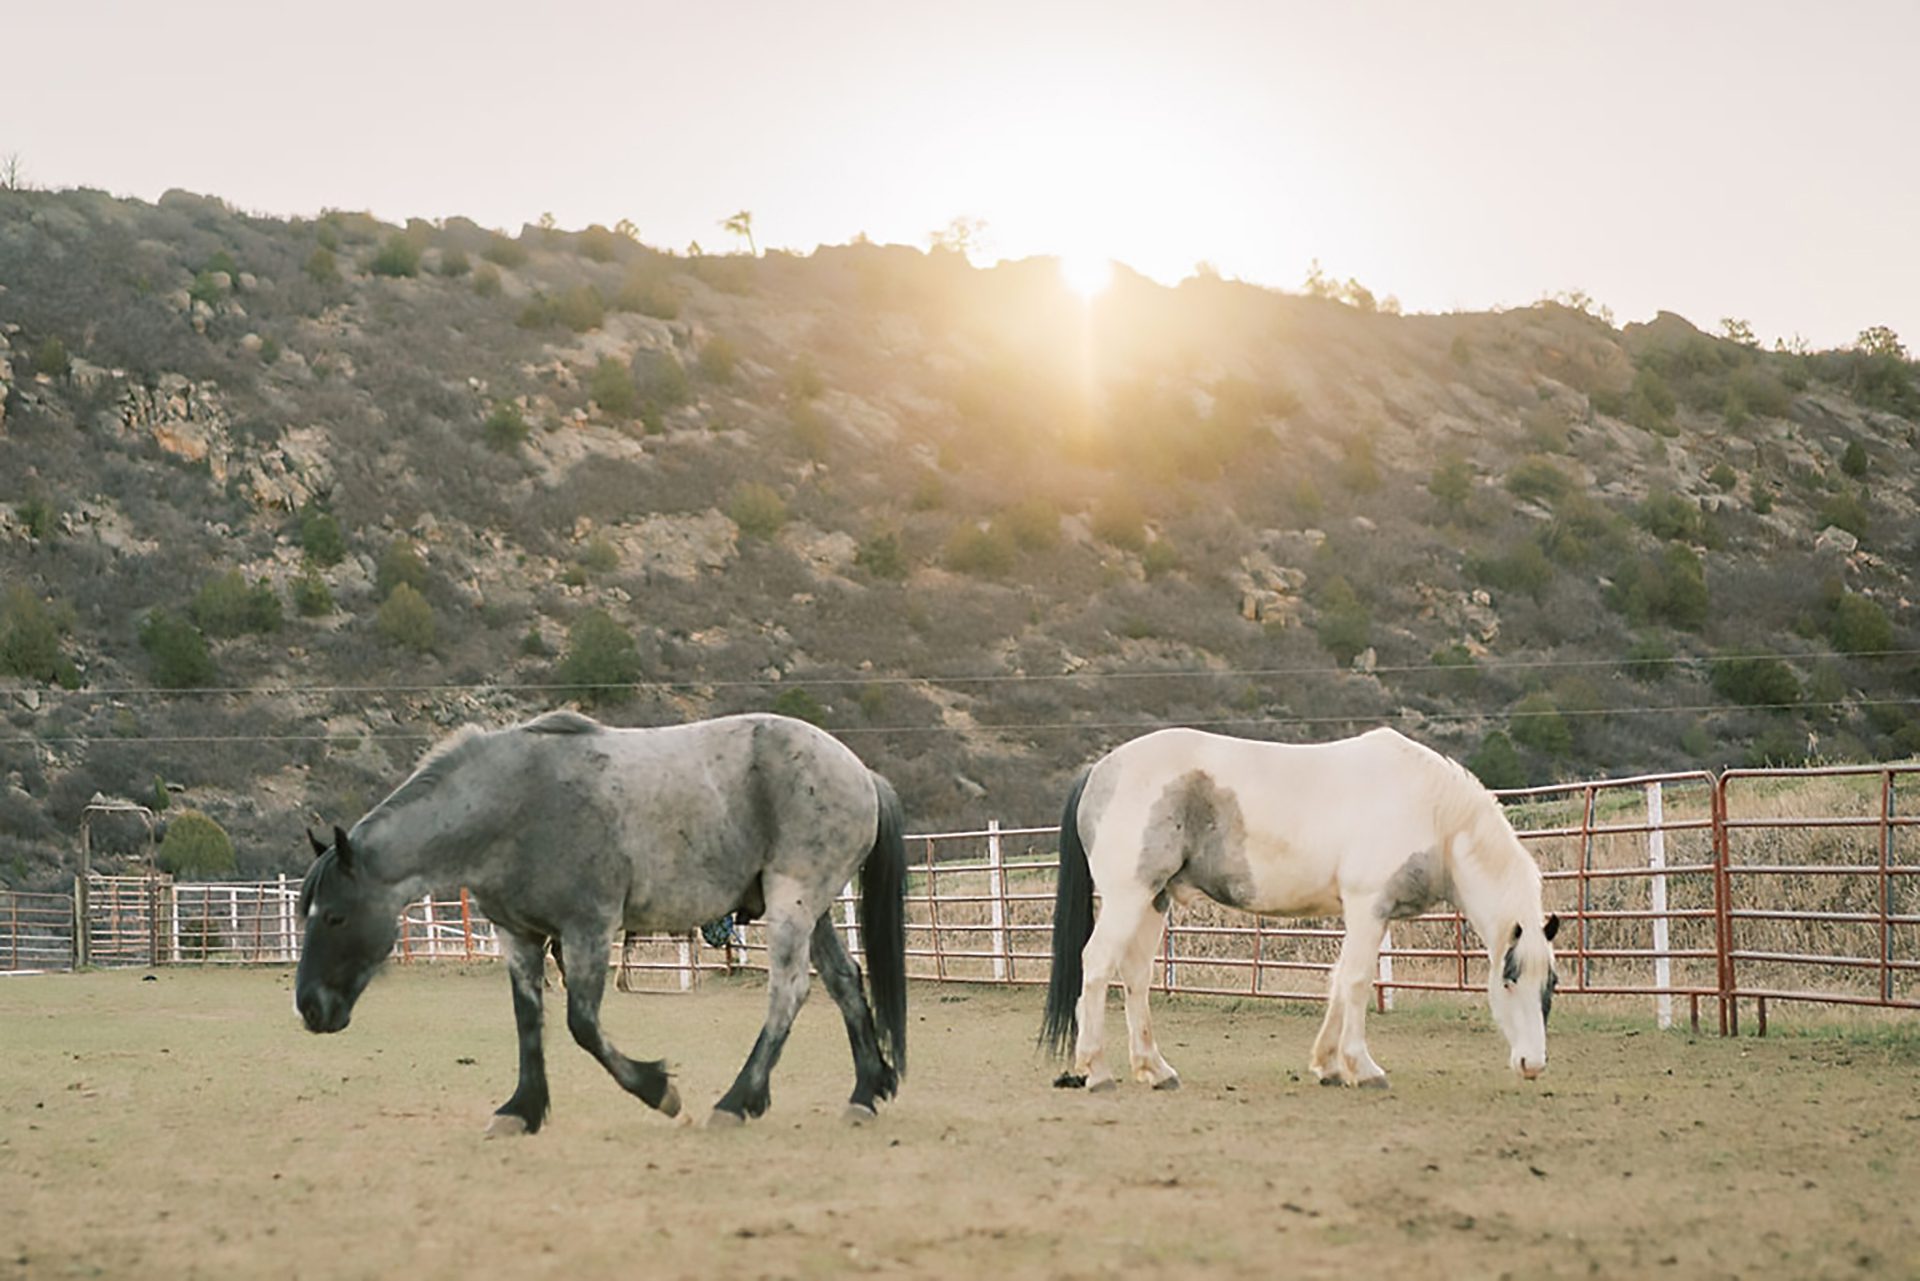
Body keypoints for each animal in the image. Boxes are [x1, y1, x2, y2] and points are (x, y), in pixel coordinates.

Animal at [295, 710, 908, 1133]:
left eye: (335, 916)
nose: (309, 1009)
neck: (510, 804)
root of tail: (860, 771)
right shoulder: (519, 936)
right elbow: (528, 1021)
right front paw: (522, 1109)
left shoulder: (587, 928)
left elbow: (582, 1026)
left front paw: (659, 1090)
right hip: (817, 914)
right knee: (845, 982)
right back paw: (865, 1092)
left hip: (792, 904)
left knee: (789, 991)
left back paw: (737, 1102)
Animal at [1040, 726, 1559, 1092]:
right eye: (1508, 981)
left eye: (1550, 986)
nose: (1532, 1064)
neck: (1431, 812)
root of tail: (1100, 770)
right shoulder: (1369, 909)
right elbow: (1356, 982)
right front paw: (1362, 1067)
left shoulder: (1363, 917)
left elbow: (1339, 982)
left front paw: (1328, 1065)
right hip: (1127, 898)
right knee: (1097, 965)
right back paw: (1097, 1071)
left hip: (1153, 899)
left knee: (1135, 977)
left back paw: (1156, 1069)